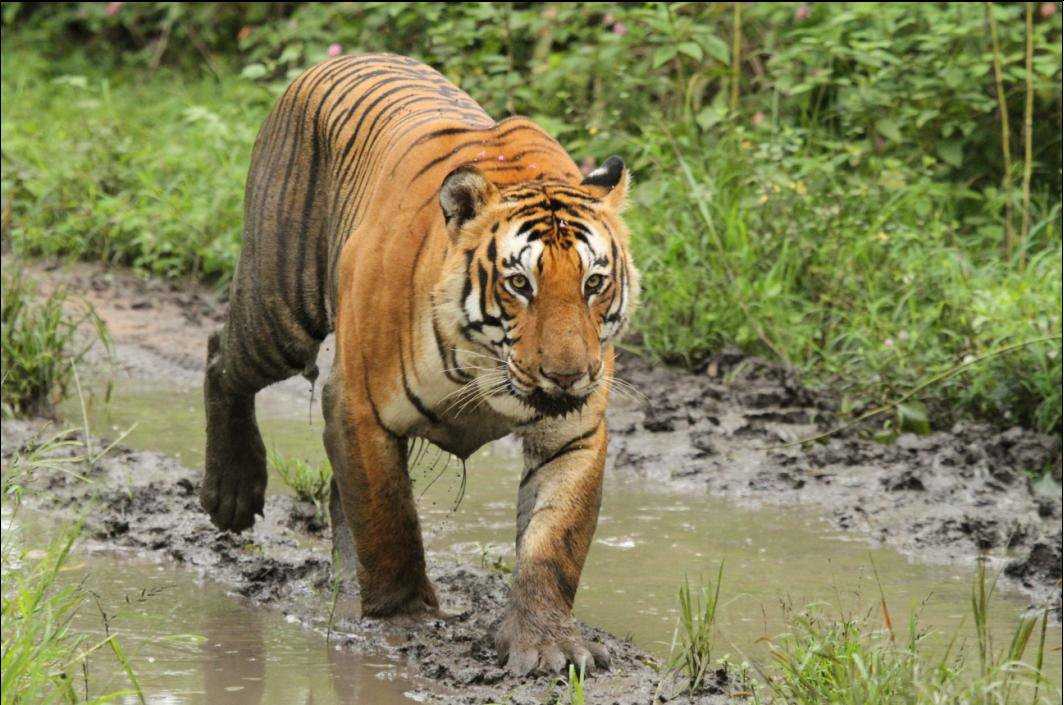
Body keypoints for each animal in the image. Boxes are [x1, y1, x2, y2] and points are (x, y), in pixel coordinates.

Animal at [200, 52, 638, 676]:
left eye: (594, 283)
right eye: (520, 284)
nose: (568, 375)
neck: (487, 369)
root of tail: (341, 59)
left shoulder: (572, 431)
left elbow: (554, 540)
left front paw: (547, 641)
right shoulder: (359, 407)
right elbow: (389, 519)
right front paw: (403, 619)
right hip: (279, 307)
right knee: (220, 355)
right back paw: (231, 492)